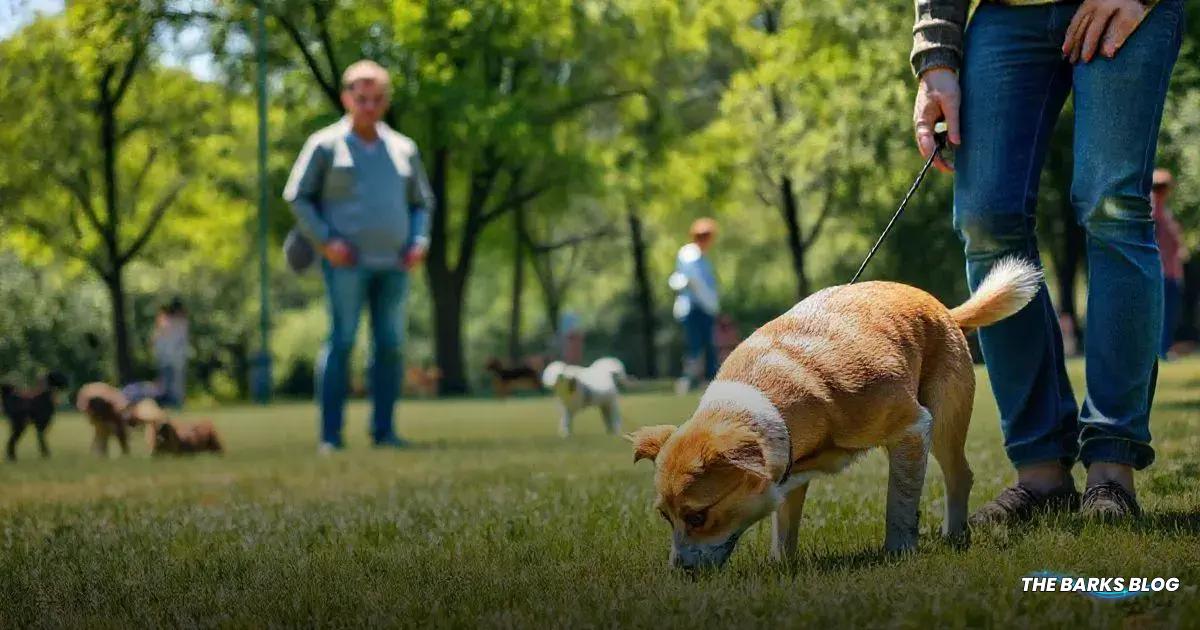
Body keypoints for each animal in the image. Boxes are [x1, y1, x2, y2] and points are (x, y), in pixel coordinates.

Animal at [628, 258, 1041, 566]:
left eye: (697, 516)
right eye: (664, 516)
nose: (679, 571)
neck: (769, 392)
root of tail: (946, 311)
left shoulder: (912, 428)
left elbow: (900, 503)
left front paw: (899, 551)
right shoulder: (789, 468)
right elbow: (784, 525)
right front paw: (781, 567)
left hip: (944, 419)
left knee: (960, 475)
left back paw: (954, 535)